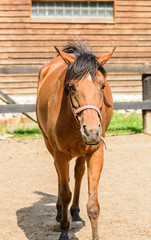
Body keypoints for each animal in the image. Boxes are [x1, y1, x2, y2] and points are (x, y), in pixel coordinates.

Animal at [36, 42, 115, 239]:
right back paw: (59, 213)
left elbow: (93, 204)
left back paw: (76, 213)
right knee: (59, 175)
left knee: (78, 173)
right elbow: (65, 193)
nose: (92, 131)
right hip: (50, 145)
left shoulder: (96, 153)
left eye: (102, 85)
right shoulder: (60, 154)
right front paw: (64, 230)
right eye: (71, 87)